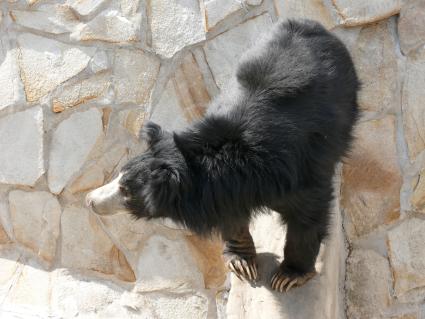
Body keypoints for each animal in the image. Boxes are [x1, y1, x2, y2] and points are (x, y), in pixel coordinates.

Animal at [86, 20, 358, 294]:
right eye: (119, 175)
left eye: (125, 190)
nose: (90, 200)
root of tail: (306, 24)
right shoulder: (225, 191)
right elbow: (231, 215)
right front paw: (242, 263)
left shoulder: (297, 172)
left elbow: (308, 215)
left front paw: (288, 275)